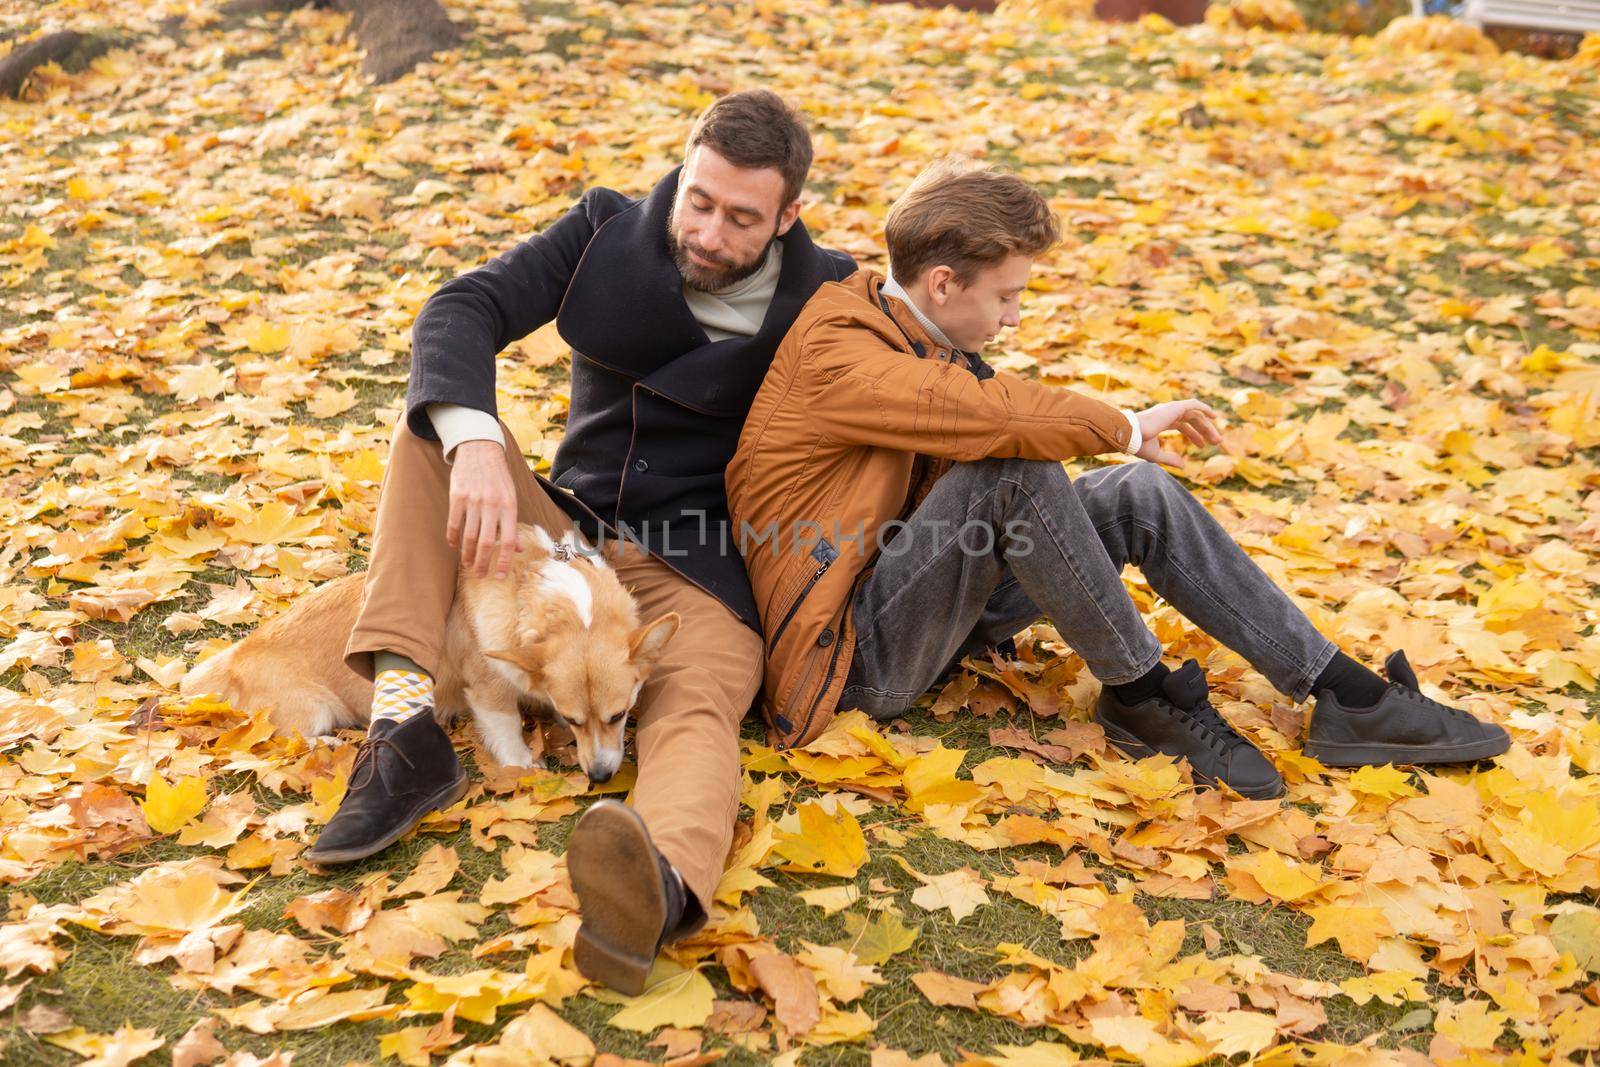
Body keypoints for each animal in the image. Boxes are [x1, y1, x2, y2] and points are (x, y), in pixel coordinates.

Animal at [181, 524, 681, 783]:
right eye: (579, 721)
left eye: (619, 716)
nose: (600, 777)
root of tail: (235, 656)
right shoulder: (488, 687)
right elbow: (505, 726)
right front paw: (522, 763)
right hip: (313, 709)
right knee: (287, 738)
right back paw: (331, 744)